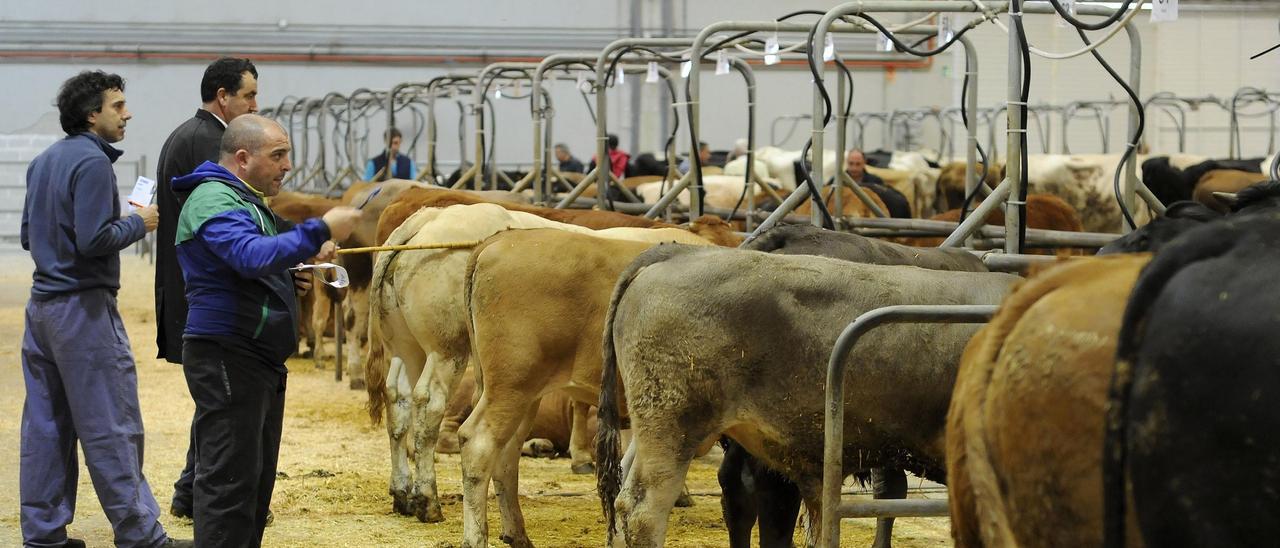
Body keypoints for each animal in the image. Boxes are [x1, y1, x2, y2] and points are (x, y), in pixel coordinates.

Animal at [366, 203, 716, 524]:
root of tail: (432, 216)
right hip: (447, 349)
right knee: (429, 405)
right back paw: (427, 500)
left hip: (408, 348)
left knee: (398, 399)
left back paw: (403, 494)